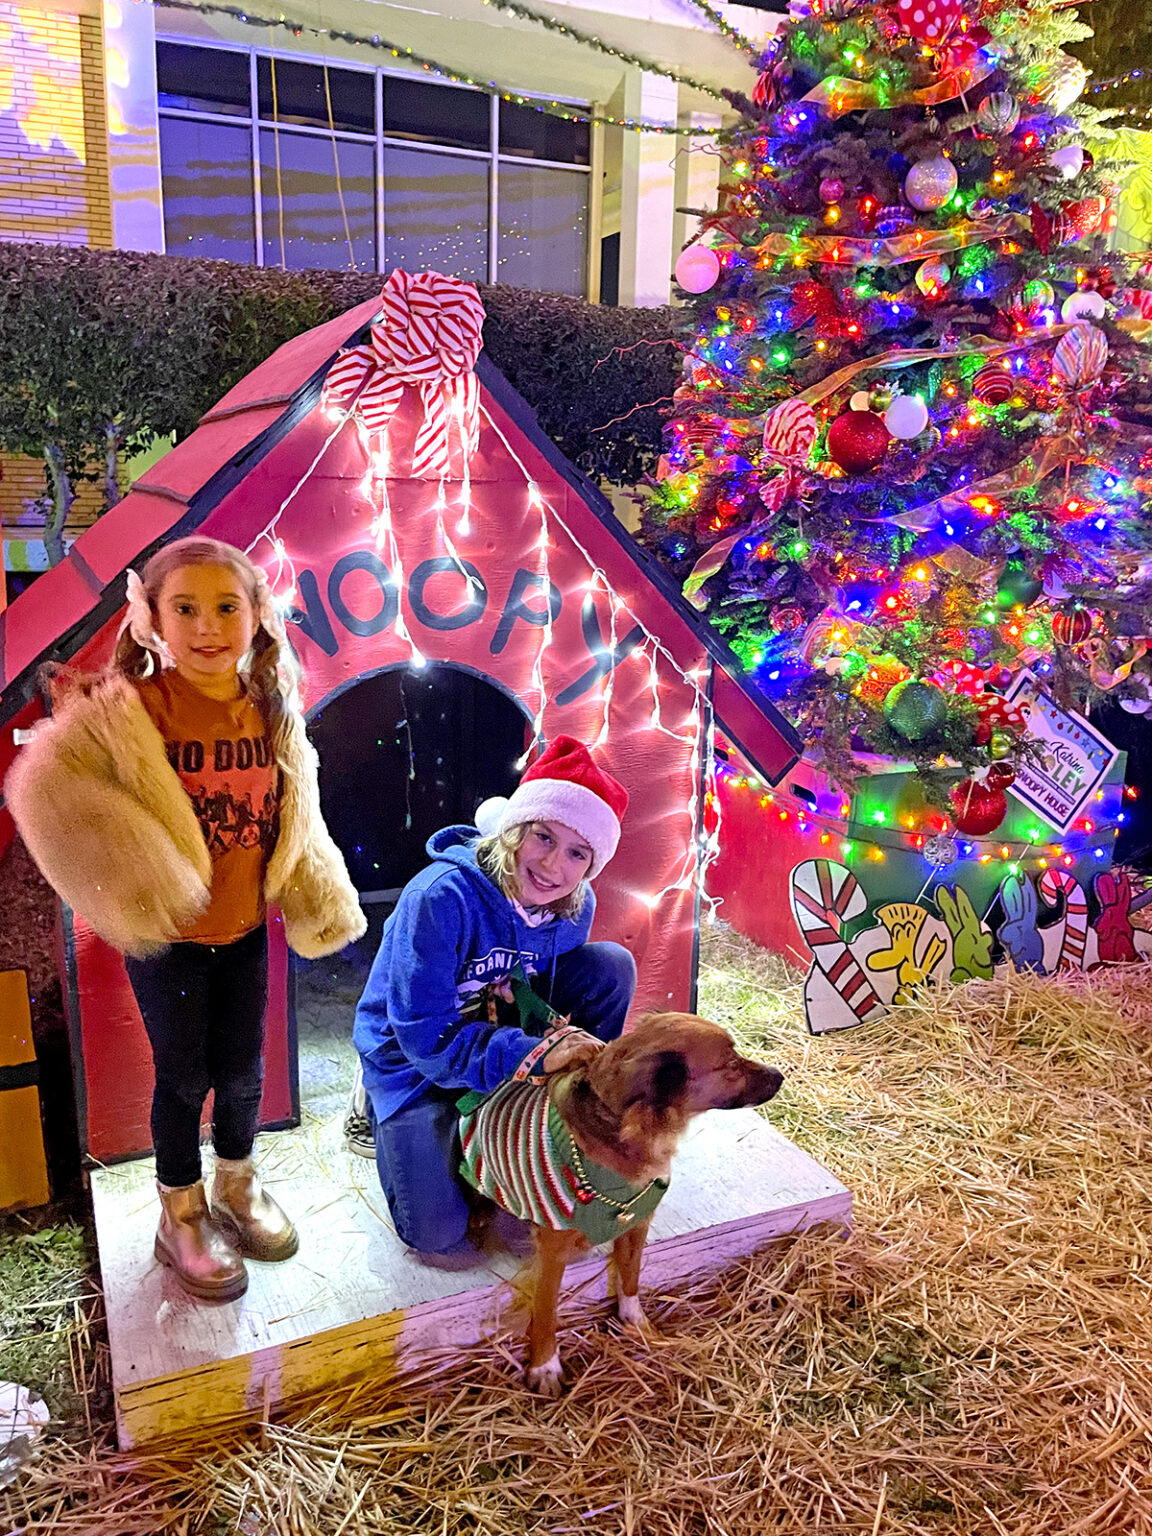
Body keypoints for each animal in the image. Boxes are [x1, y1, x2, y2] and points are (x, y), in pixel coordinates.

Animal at [460, 1013, 786, 1400]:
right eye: (731, 1065)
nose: (780, 1075)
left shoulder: (636, 1223)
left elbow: (630, 1280)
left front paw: (636, 1324)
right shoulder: (552, 1252)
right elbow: (546, 1311)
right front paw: (545, 1365)